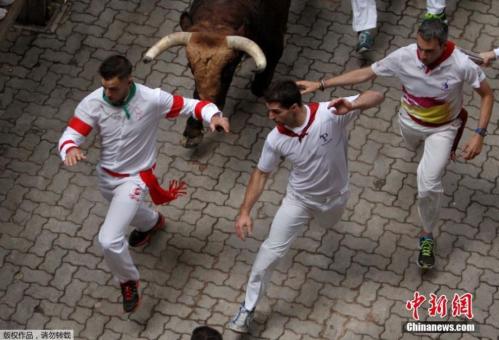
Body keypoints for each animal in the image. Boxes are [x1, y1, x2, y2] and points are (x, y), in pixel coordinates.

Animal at [145, 0, 292, 147]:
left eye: (230, 68)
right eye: (190, 66)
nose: (211, 105)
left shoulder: (275, 46)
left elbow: (258, 87)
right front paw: (193, 130)